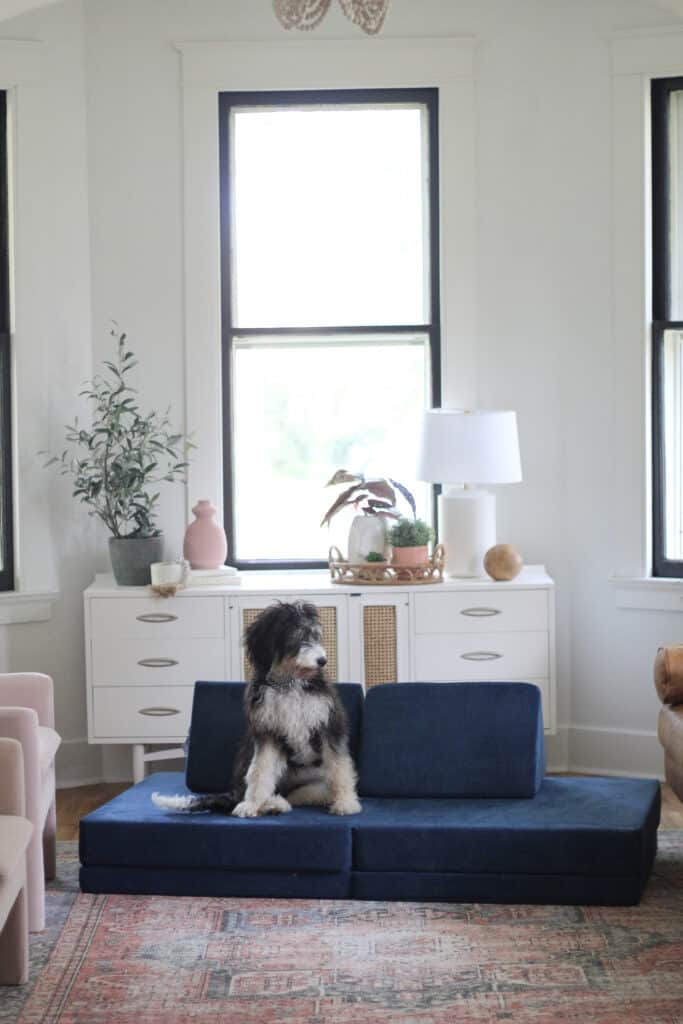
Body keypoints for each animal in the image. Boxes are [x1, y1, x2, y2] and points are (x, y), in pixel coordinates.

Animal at [151, 598, 360, 815]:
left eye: (316, 636)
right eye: (299, 636)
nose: (322, 661)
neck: (288, 683)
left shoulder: (329, 724)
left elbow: (338, 766)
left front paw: (345, 802)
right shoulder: (266, 731)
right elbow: (260, 770)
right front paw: (251, 804)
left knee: (306, 793)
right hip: (248, 749)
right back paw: (271, 804)